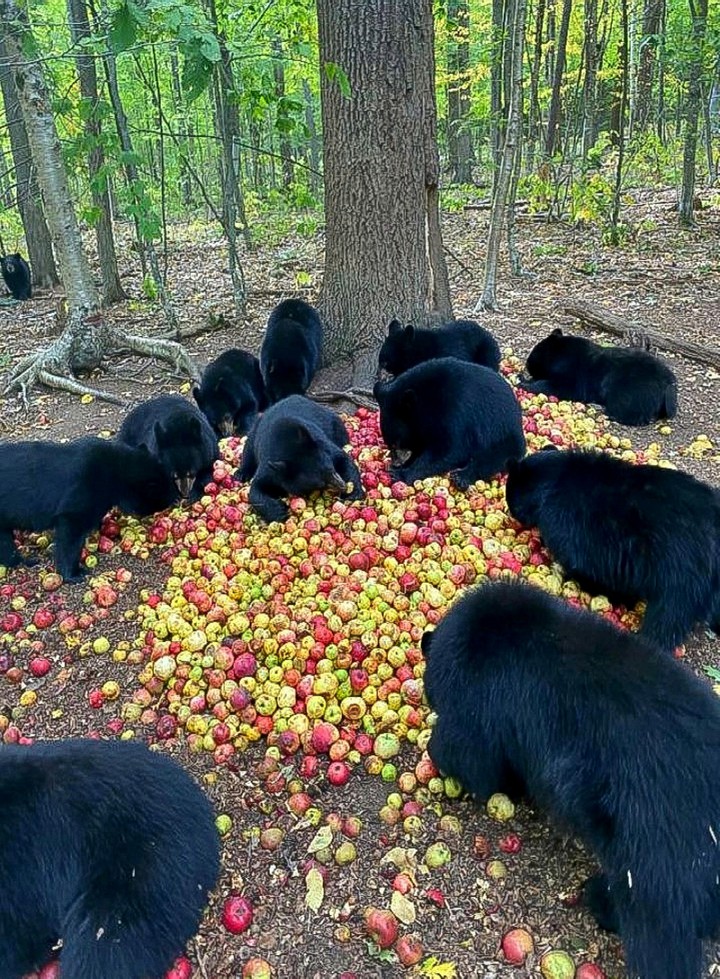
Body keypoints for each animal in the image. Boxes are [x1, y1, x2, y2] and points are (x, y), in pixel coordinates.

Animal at [236, 395, 363, 523]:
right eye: (322, 484)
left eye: (331, 470)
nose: (343, 485)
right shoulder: (270, 465)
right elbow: (256, 487)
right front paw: (279, 511)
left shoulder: (322, 444)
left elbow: (343, 458)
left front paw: (353, 492)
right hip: (255, 430)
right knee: (248, 448)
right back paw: (241, 474)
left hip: (336, 425)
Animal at [373, 357, 525, 489]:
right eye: (389, 443)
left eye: (396, 443)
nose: (395, 463)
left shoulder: (454, 412)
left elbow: (450, 449)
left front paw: (400, 473)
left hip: (501, 433)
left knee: (495, 456)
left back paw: (461, 476)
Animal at [421, 580, 720, 979]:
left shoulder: (482, 703)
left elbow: (471, 757)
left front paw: (442, 756)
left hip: (658, 851)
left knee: (655, 930)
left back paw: (600, 902)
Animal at [504, 446, 720, 652]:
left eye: (510, 498)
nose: (513, 514)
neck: (554, 481)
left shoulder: (572, 527)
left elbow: (585, 568)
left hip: (679, 569)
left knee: (667, 617)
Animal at [521, 328, 677, 426]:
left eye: (534, 354)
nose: (527, 364)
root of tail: (668, 385)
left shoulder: (571, 381)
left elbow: (552, 385)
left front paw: (523, 381)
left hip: (628, 389)